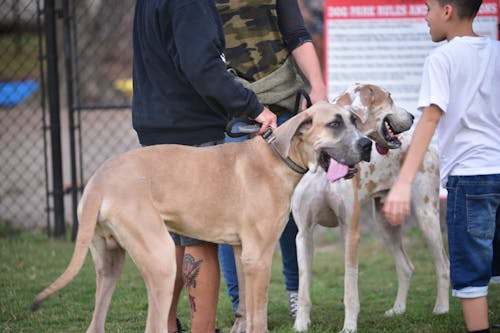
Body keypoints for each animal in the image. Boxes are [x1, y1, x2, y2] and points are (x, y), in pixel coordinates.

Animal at [30, 102, 372, 332]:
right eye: (335, 124)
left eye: (355, 120)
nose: (367, 144)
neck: (277, 158)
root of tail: (99, 180)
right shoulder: (259, 257)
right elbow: (258, 317)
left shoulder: (243, 254)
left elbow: (247, 312)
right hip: (161, 260)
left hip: (110, 262)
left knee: (96, 322)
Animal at [290, 83, 450, 332]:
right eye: (390, 97)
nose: (413, 116)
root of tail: (427, 145)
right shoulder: (304, 234)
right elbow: (304, 286)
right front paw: (300, 324)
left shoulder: (351, 232)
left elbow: (350, 286)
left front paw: (349, 326)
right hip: (384, 224)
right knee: (406, 266)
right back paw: (398, 309)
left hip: (427, 216)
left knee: (443, 264)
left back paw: (441, 308)